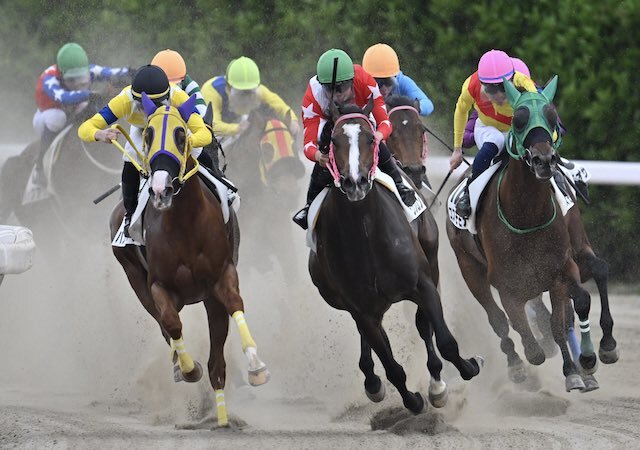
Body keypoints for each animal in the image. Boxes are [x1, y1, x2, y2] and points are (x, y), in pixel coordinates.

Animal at [109, 94, 268, 426]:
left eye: (182, 135)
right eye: (147, 135)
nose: (160, 188)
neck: (185, 223)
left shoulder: (221, 278)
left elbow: (234, 308)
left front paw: (256, 367)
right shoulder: (159, 286)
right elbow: (171, 324)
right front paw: (188, 368)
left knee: (214, 359)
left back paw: (220, 415)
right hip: (135, 278)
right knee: (163, 325)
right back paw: (179, 367)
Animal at [308, 103, 480, 414]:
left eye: (371, 139)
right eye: (333, 141)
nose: (355, 183)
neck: (365, 231)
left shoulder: (423, 284)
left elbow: (444, 340)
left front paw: (464, 370)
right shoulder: (362, 308)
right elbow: (391, 366)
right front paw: (411, 400)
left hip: (430, 259)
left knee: (424, 326)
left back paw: (436, 382)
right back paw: (373, 381)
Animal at [444, 76, 616, 390]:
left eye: (552, 116)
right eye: (519, 120)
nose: (544, 160)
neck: (527, 215)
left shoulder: (561, 267)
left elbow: (567, 315)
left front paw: (580, 365)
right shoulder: (507, 283)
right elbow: (524, 334)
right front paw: (545, 358)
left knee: (591, 278)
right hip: (469, 267)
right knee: (497, 319)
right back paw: (516, 366)